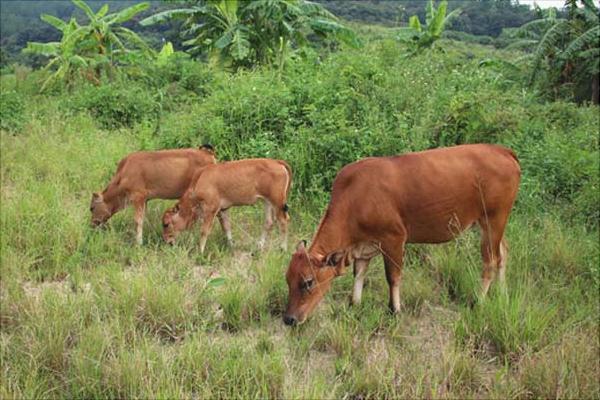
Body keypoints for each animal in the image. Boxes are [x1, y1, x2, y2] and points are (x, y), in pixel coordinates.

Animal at [91, 144, 232, 244]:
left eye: (92, 208)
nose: (92, 224)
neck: (123, 175)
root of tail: (206, 153)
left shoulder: (138, 197)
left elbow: (138, 221)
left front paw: (138, 243)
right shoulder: (145, 200)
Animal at [159, 158, 290, 252]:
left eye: (166, 224)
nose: (166, 240)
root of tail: (276, 162)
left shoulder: (211, 209)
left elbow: (204, 231)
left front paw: (200, 251)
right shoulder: (223, 209)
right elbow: (226, 227)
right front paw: (231, 245)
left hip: (277, 203)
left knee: (283, 221)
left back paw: (283, 248)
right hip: (267, 202)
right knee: (268, 222)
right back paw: (260, 245)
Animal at [284, 144, 516, 324]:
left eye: (308, 282)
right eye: (287, 279)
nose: (289, 319)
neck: (355, 197)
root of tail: (503, 150)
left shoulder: (394, 239)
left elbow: (393, 277)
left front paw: (394, 310)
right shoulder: (364, 247)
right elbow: (359, 274)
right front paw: (354, 304)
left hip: (493, 220)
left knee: (490, 261)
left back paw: (479, 302)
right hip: (492, 224)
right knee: (503, 254)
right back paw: (503, 295)